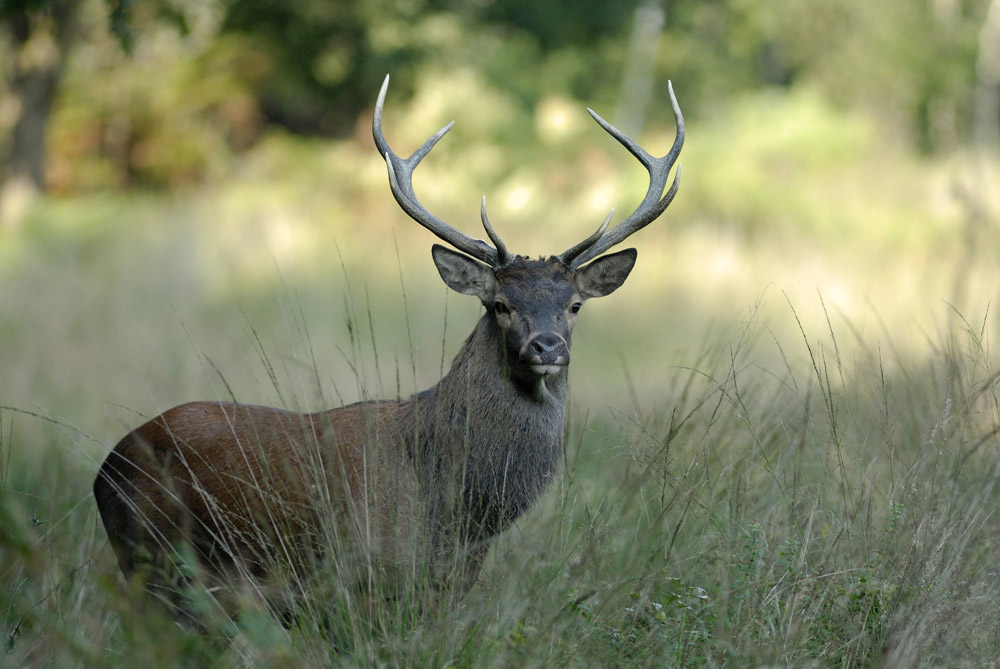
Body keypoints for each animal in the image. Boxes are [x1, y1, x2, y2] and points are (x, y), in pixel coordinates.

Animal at [94, 75, 684, 636]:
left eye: (574, 305)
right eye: (500, 304)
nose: (547, 347)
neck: (456, 511)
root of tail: (106, 467)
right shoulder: (356, 576)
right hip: (153, 561)